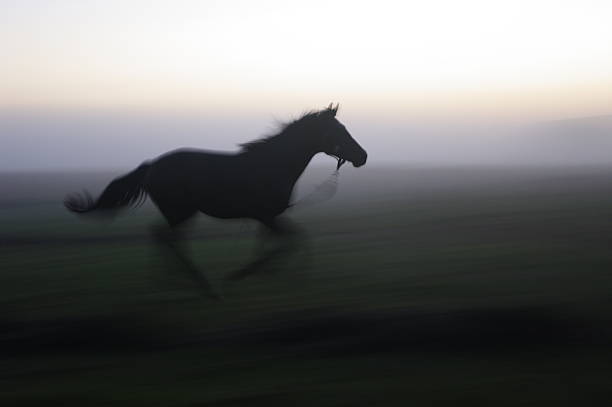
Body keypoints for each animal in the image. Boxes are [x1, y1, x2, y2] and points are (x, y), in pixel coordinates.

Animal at [64, 103, 366, 298]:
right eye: (338, 131)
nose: (362, 156)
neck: (273, 165)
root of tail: (151, 167)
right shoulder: (266, 215)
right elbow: (294, 240)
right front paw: (244, 275)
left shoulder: (268, 218)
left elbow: (278, 243)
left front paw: (271, 275)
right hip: (180, 212)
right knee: (165, 237)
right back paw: (199, 284)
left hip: (181, 214)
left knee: (165, 237)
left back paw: (171, 281)